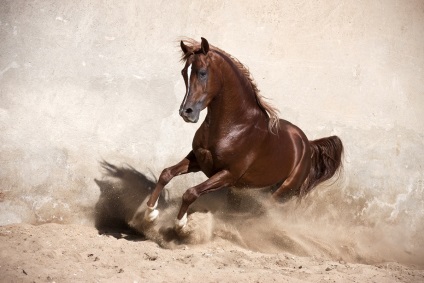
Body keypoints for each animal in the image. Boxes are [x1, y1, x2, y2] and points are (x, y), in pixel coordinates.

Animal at [144, 37, 342, 230]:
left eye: (202, 72)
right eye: (184, 72)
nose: (186, 112)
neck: (234, 126)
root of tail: (307, 144)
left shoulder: (228, 174)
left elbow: (190, 192)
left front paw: (180, 223)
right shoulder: (199, 160)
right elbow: (166, 174)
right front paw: (150, 214)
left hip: (280, 193)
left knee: (260, 213)